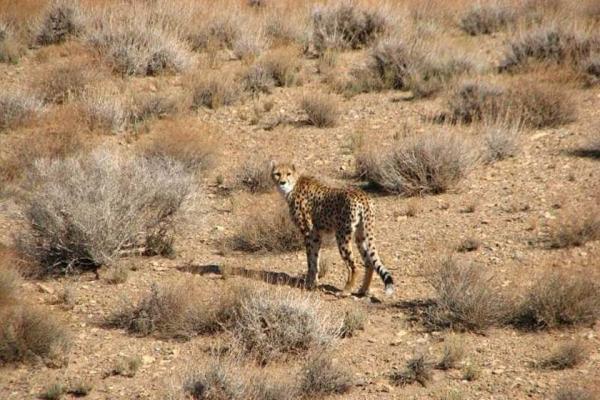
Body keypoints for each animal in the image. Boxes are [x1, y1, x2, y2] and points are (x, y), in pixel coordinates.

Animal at [270, 161, 394, 296]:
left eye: (288, 173)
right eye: (277, 174)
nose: (282, 183)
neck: (293, 186)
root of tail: (363, 196)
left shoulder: (308, 233)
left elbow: (310, 260)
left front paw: (309, 282)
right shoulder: (316, 235)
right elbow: (315, 258)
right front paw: (314, 282)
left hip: (342, 236)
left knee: (353, 265)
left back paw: (346, 290)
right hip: (361, 235)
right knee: (369, 262)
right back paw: (363, 290)